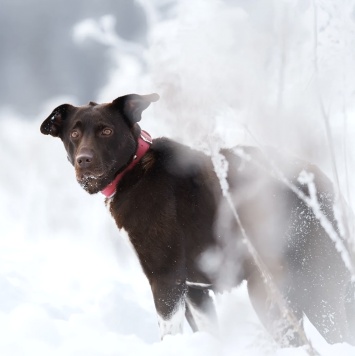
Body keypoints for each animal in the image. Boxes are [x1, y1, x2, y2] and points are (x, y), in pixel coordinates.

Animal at [41, 93, 355, 346]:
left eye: (106, 130)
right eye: (74, 134)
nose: (84, 160)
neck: (133, 168)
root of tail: (322, 185)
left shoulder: (166, 279)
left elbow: (168, 332)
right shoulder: (195, 293)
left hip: (293, 290)